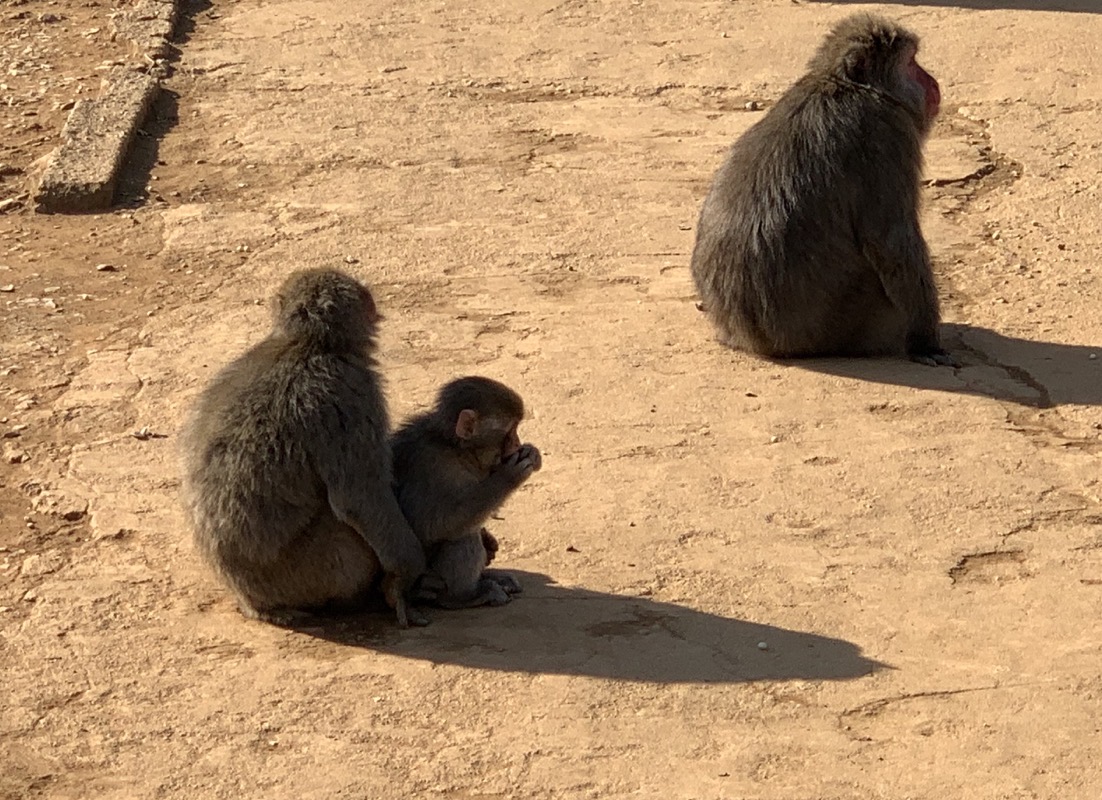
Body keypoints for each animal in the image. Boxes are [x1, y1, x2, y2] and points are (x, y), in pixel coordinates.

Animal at [180, 268, 428, 627]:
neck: (306, 346)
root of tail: (254, 604)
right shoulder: (351, 395)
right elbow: (358, 500)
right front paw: (406, 574)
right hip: (313, 570)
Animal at [390, 376, 542, 610]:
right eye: (510, 431)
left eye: (516, 428)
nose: (517, 442)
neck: (459, 450)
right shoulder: (434, 467)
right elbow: (431, 525)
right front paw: (509, 476)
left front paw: (530, 453)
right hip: (430, 579)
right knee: (463, 535)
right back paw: (463, 595)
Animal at [690, 13, 957, 367]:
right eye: (912, 62)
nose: (933, 82)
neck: (848, 86)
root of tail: (759, 342)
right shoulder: (887, 138)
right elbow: (891, 243)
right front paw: (926, 342)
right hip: (855, 322)